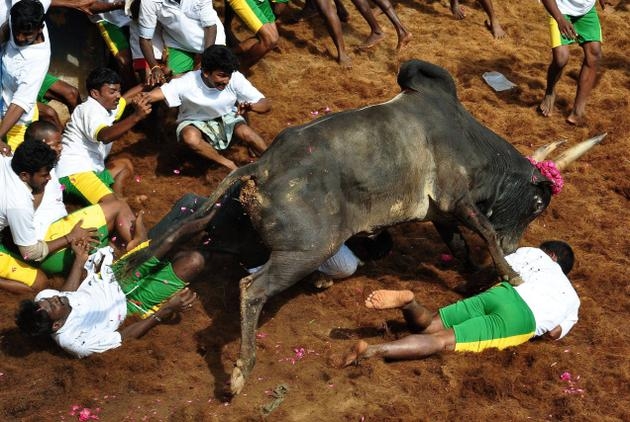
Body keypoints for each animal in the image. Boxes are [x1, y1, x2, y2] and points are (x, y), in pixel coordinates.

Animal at [118, 58, 604, 396]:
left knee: (191, 227)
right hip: (303, 251)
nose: (516, 244)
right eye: (538, 203)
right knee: (251, 290)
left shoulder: (442, 212)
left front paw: (473, 275)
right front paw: (512, 273)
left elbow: (462, 244)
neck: (469, 139)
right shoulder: (458, 199)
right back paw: (241, 372)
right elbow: (481, 231)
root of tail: (263, 166)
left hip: (232, 227)